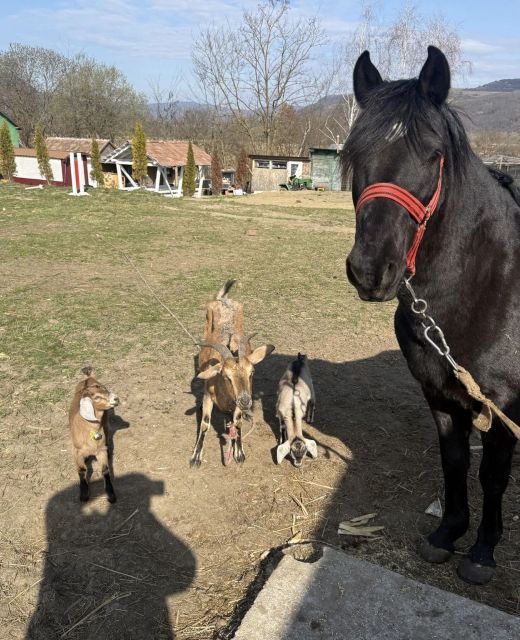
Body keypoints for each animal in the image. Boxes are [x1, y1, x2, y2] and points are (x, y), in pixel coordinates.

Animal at [342, 45, 520, 585]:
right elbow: (455, 462)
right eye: (354, 155)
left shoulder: (502, 407)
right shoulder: (439, 394)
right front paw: (448, 534)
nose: (371, 270)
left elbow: (492, 475)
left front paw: (482, 551)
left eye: (433, 156)